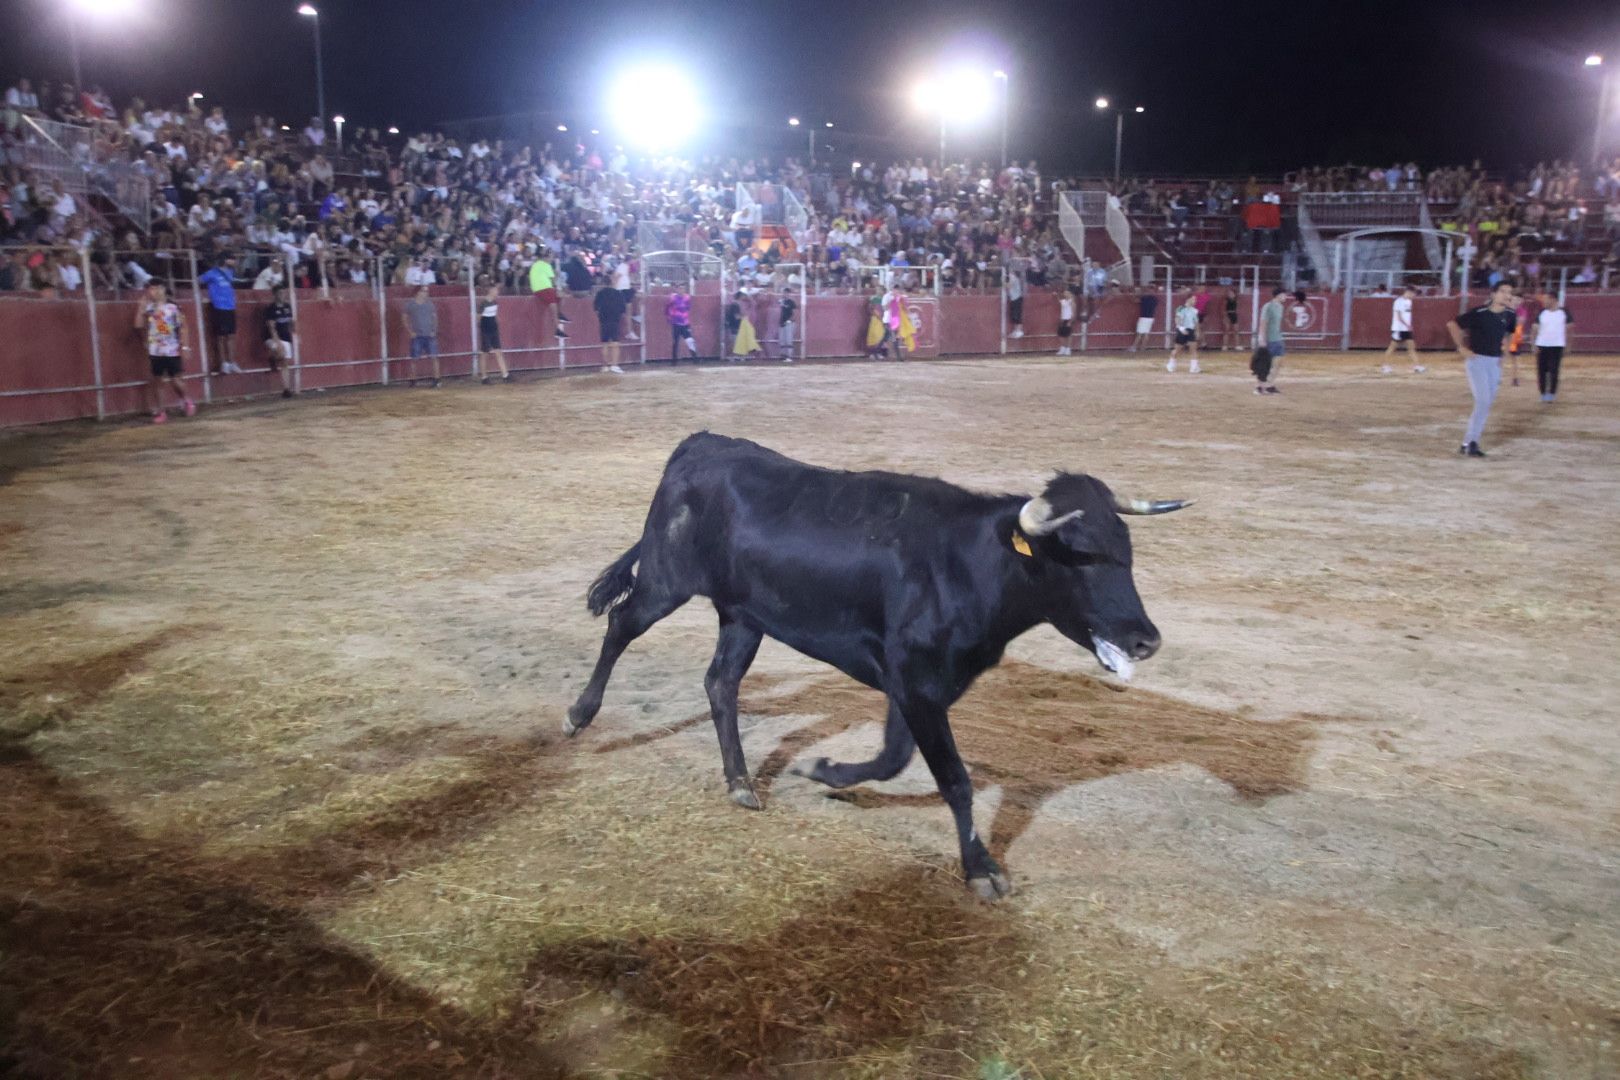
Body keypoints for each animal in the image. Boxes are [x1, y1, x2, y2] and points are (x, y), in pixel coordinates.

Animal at [570, 433, 1192, 900]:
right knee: (621, 626)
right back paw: (580, 713)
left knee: (720, 683)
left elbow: (894, 758)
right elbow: (954, 779)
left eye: (1127, 551)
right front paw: (980, 869)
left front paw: (827, 773)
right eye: (1077, 559)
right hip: (665, 581)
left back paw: (741, 783)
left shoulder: (916, 685)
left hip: (743, 616)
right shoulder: (916, 683)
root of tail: (700, 444)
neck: (966, 566)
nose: (1145, 640)